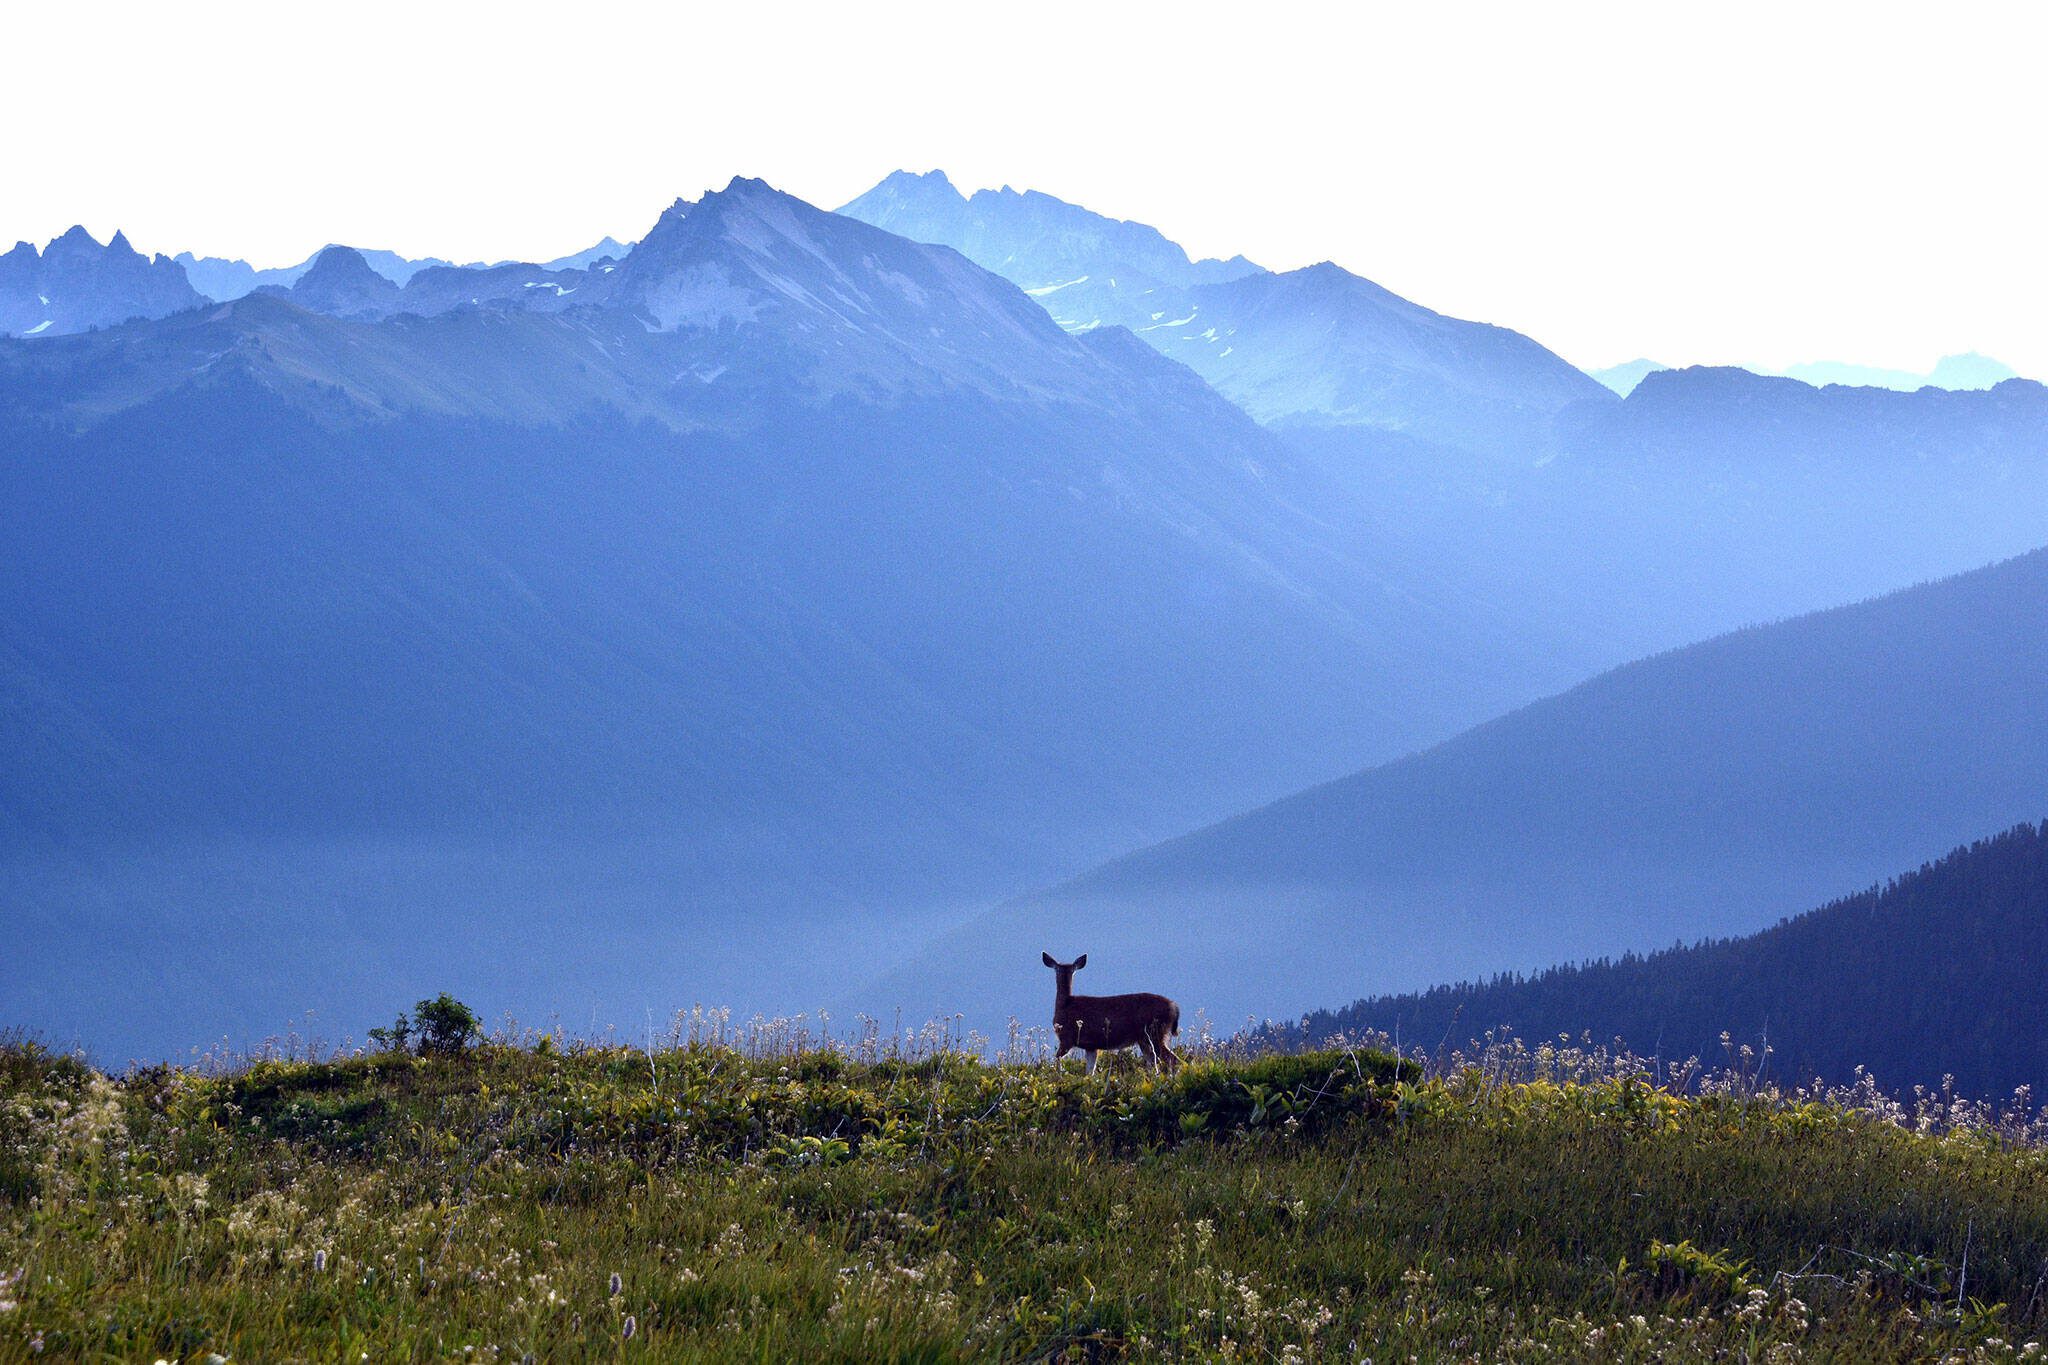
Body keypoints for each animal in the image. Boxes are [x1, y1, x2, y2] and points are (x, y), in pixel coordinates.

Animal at [1040, 957, 1187, 1072]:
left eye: (1056, 969)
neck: (1065, 1004)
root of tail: (1175, 1007)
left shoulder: (1066, 1038)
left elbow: (1057, 1060)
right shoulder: (1091, 1046)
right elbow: (1090, 1071)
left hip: (1155, 1032)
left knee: (1173, 1060)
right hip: (1146, 1039)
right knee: (1154, 1062)